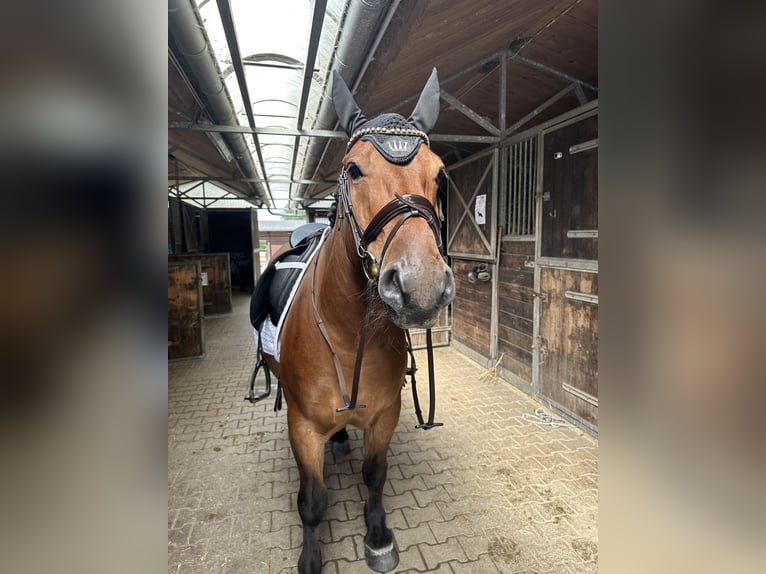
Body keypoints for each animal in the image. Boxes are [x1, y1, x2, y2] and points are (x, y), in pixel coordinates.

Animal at [258, 69, 454, 573]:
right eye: (352, 170)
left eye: (439, 174)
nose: (421, 285)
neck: (348, 337)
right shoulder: (302, 428)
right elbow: (312, 500)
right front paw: (311, 558)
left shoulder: (386, 416)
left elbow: (374, 475)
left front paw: (379, 537)